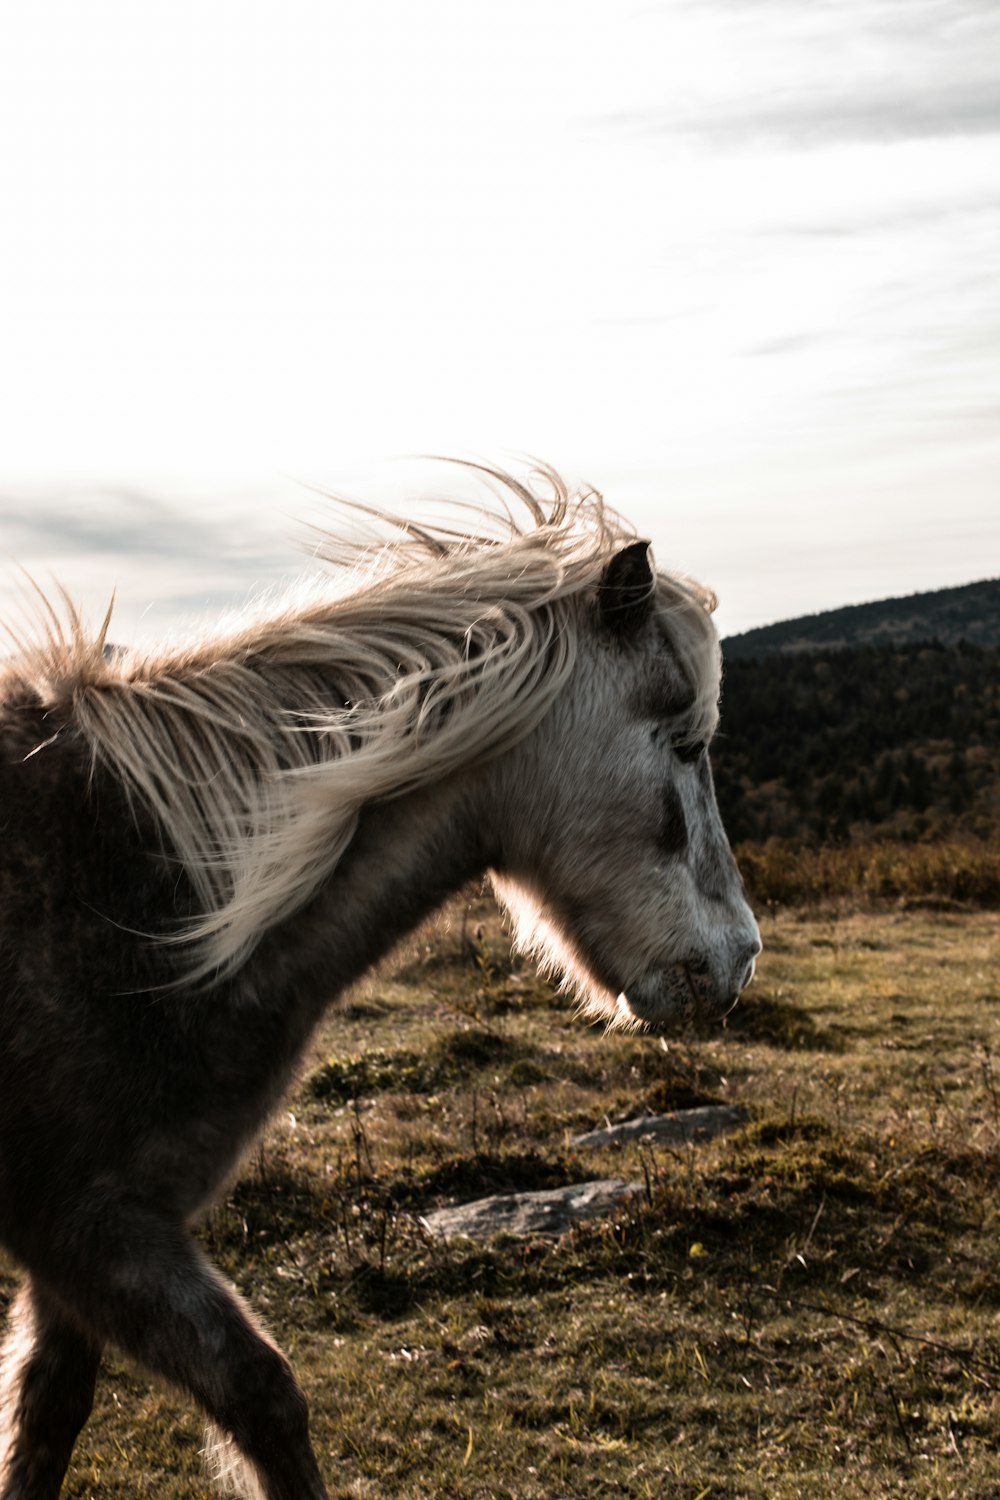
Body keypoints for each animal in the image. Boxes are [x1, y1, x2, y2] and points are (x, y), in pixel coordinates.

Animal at [0, 462, 758, 1494]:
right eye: (685, 742)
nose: (738, 959)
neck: (140, 898)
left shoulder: (90, 1238)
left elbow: (49, 1417)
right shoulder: (89, 1223)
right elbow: (260, 1394)